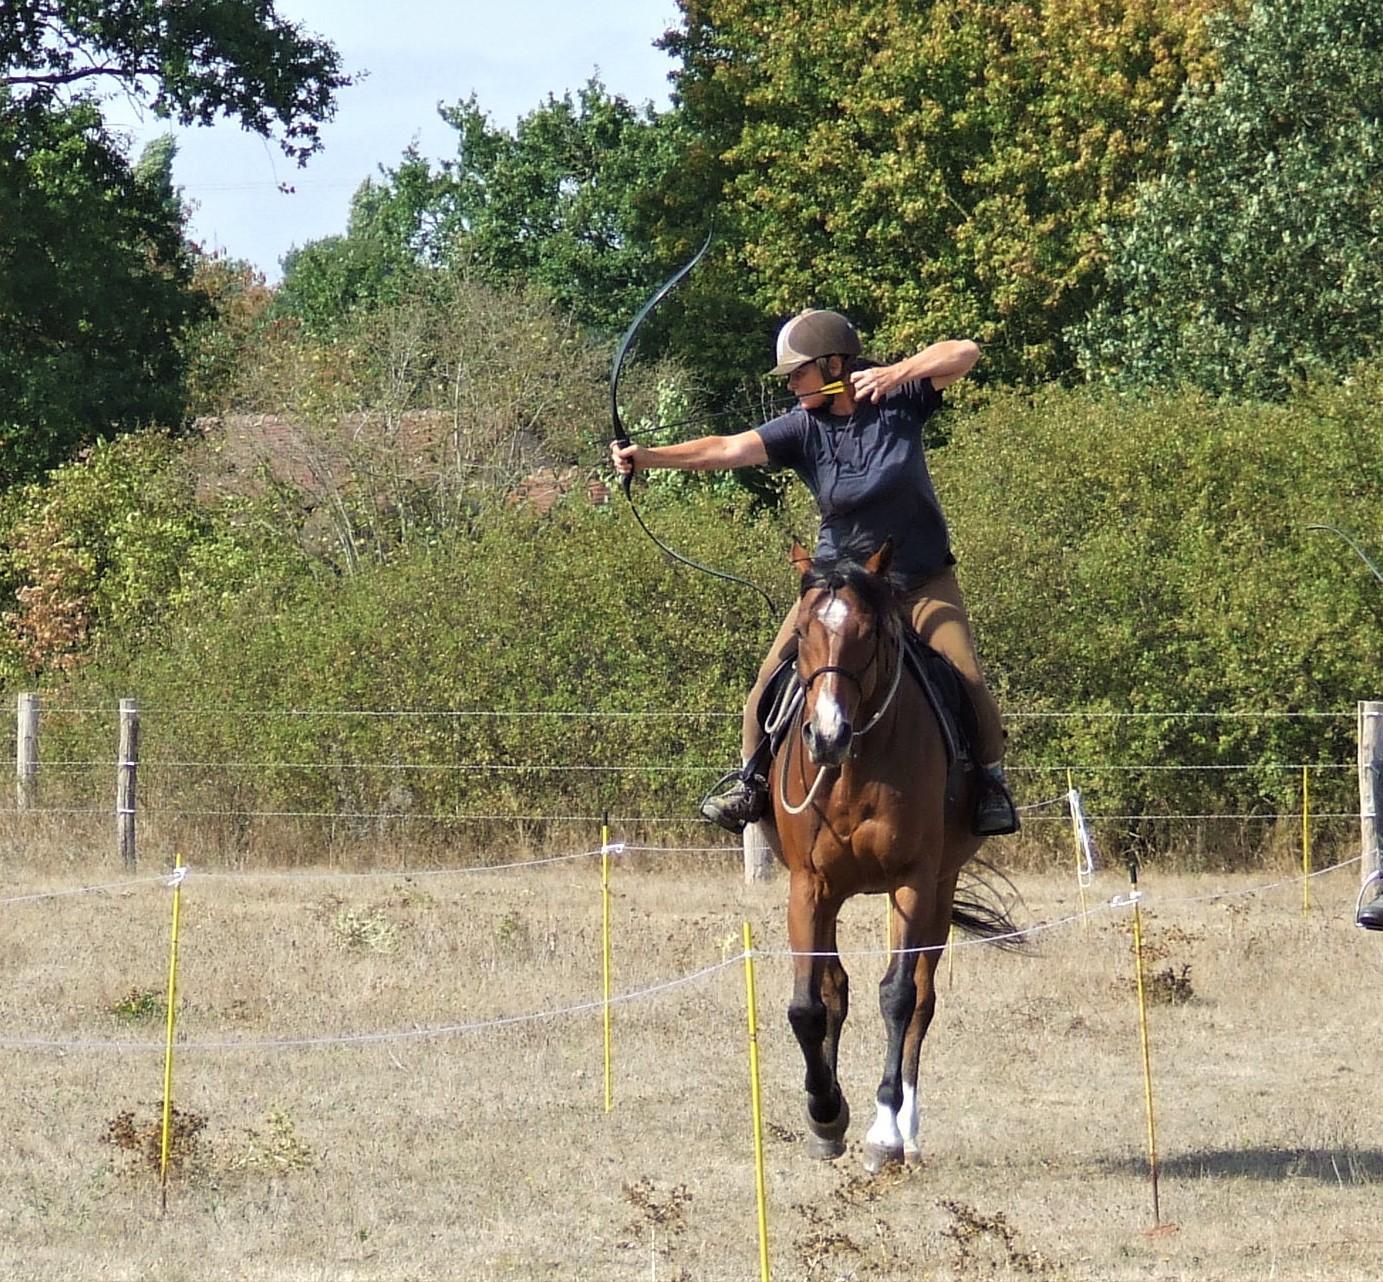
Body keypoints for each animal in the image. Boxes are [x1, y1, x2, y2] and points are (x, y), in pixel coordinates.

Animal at [757, 542, 1017, 1172]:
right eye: (800, 633)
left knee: (921, 1001)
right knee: (834, 990)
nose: (826, 735)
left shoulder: (913, 883)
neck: (854, 765)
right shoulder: (809, 886)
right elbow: (808, 1006)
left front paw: (883, 1132)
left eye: (868, 632)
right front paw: (825, 1114)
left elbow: (898, 997)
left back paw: (908, 1131)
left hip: (941, 891)